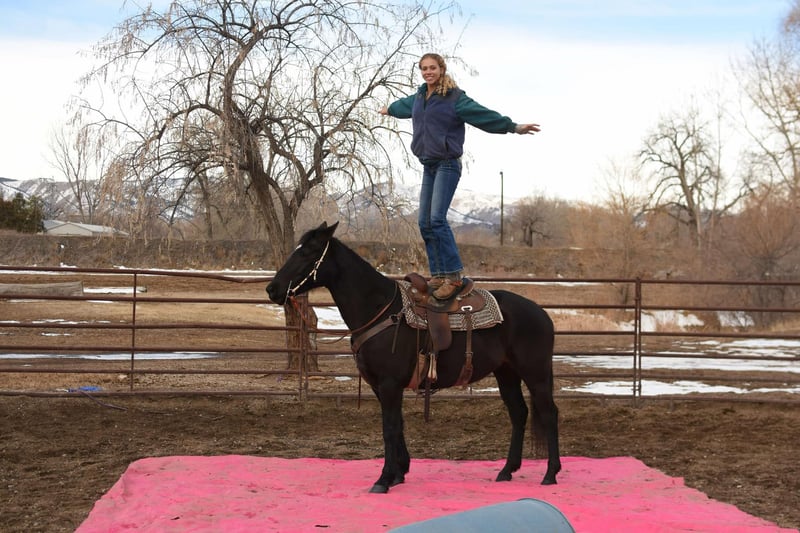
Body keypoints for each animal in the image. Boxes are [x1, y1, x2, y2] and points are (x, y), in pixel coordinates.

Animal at [266, 222, 561, 493]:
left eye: (308, 252)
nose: (272, 289)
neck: (382, 310)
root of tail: (542, 314)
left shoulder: (389, 383)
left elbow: (389, 427)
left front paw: (383, 479)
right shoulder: (381, 386)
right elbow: (399, 425)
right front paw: (399, 473)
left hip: (535, 373)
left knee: (549, 413)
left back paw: (550, 474)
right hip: (506, 374)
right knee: (519, 413)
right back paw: (507, 470)